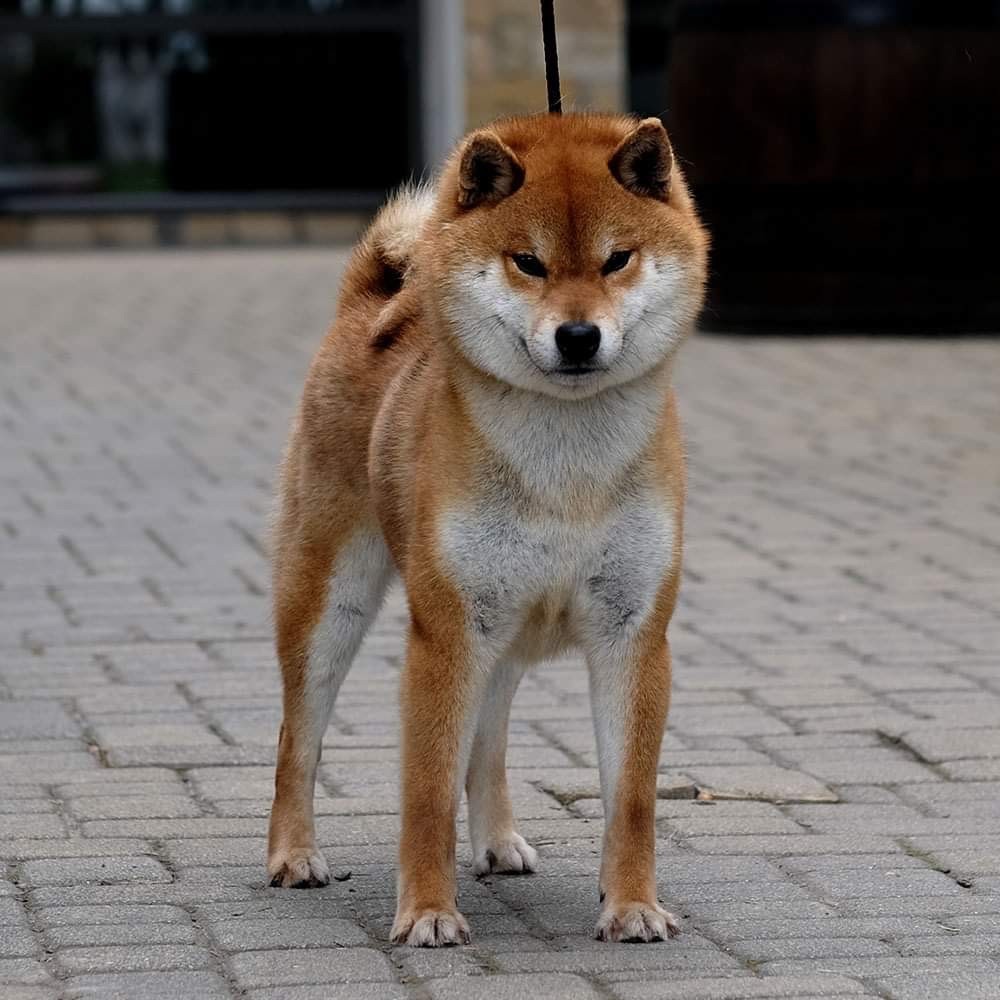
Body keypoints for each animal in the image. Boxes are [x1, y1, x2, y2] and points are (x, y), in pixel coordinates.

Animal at [268, 111, 712, 944]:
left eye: (617, 259)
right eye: (528, 263)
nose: (578, 336)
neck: (567, 467)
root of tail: (363, 305)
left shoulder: (633, 632)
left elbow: (632, 799)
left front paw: (633, 904)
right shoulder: (445, 635)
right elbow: (427, 795)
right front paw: (427, 912)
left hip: (504, 630)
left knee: (491, 738)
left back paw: (499, 841)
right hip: (330, 605)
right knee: (297, 738)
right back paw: (293, 854)